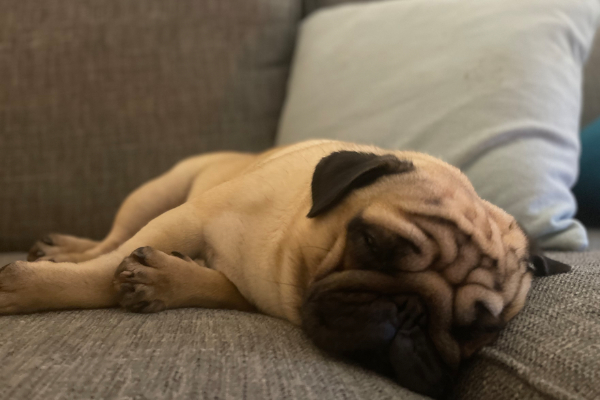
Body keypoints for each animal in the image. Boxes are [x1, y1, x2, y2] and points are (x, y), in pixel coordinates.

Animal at [1, 139, 572, 398]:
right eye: (372, 243)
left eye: (478, 330)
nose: (407, 315)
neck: (288, 245)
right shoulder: (184, 219)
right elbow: (101, 273)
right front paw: (35, 285)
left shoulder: (247, 289)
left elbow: (199, 280)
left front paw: (163, 278)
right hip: (155, 194)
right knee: (111, 239)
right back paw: (63, 251)